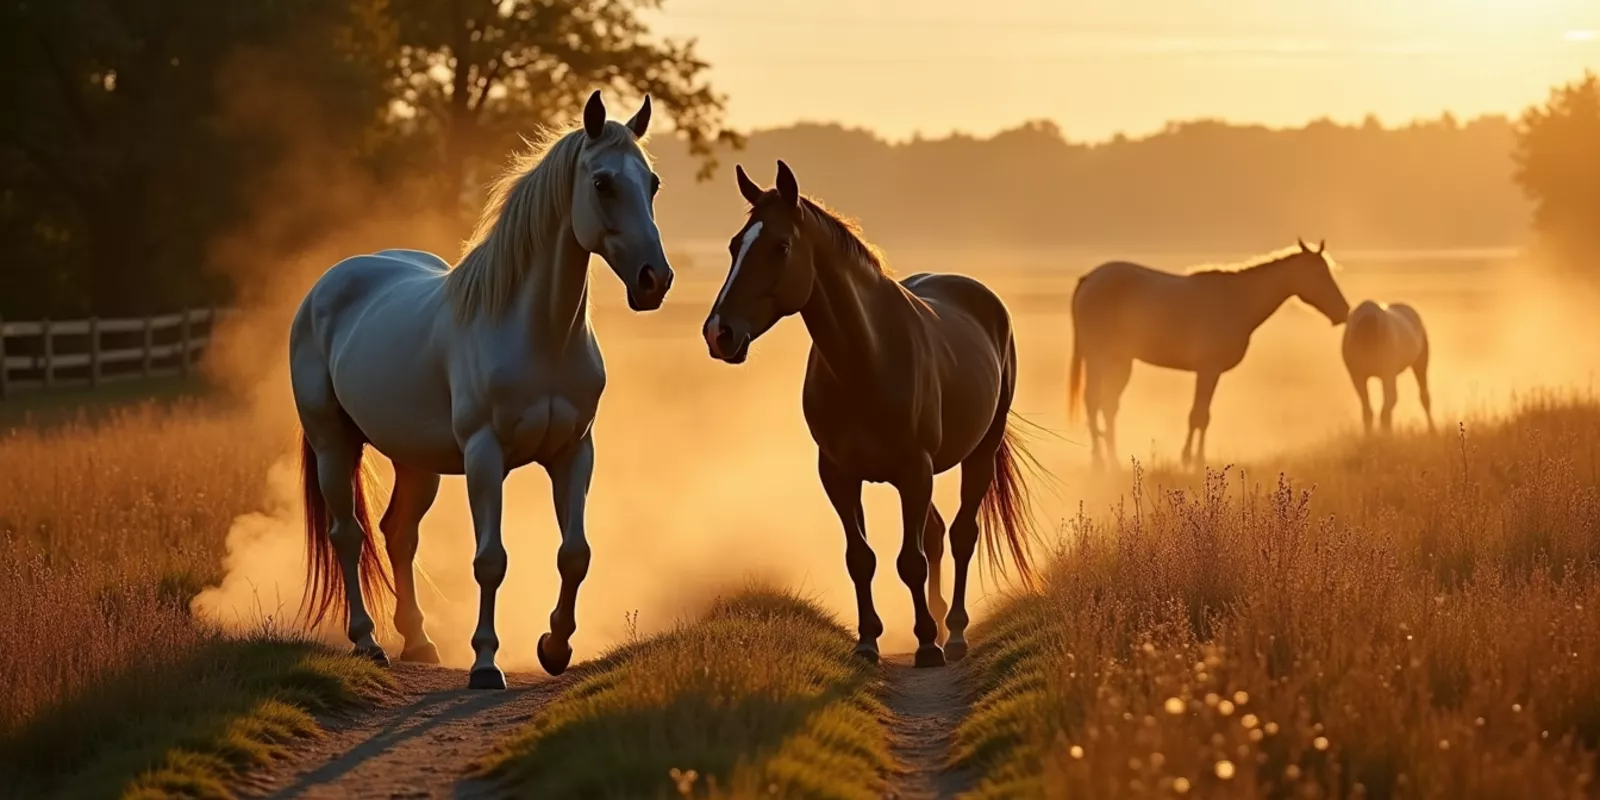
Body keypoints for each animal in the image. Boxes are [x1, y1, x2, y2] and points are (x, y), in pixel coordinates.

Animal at [289, 91, 671, 690]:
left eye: (651, 183)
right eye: (603, 182)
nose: (655, 279)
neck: (536, 333)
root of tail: (326, 286)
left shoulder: (573, 452)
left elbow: (575, 554)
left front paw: (555, 647)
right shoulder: (485, 455)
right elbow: (491, 560)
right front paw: (487, 663)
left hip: (415, 462)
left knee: (398, 534)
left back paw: (419, 642)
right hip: (334, 444)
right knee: (347, 535)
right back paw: (368, 642)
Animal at [701, 161, 1040, 668]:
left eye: (781, 246)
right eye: (733, 246)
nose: (718, 333)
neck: (867, 359)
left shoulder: (913, 470)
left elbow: (910, 561)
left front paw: (927, 644)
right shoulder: (838, 473)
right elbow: (861, 558)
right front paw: (867, 641)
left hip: (978, 452)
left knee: (960, 535)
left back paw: (955, 633)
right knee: (935, 533)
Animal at [1068, 239, 1350, 468]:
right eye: (1318, 273)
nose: (1343, 311)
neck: (1236, 301)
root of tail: (1089, 280)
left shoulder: (1211, 373)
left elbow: (1203, 415)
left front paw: (1195, 458)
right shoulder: (1208, 370)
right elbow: (1198, 416)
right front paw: (1190, 460)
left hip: (1120, 361)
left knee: (1108, 405)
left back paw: (1113, 459)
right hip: (1096, 357)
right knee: (1093, 401)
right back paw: (1099, 461)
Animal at [1342, 300, 1434, 434]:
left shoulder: (1387, 374)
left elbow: (1385, 410)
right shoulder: (1358, 376)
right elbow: (1368, 412)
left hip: (1420, 364)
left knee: (1424, 397)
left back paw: (1433, 430)